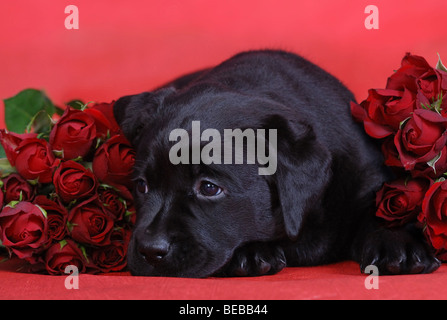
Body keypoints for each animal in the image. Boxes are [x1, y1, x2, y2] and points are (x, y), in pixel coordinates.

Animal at [114, 50, 442, 278]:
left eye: (208, 188)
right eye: (141, 186)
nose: (150, 251)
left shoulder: (367, 177)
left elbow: (383, 209)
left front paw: (398, 244)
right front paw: (250, 254)